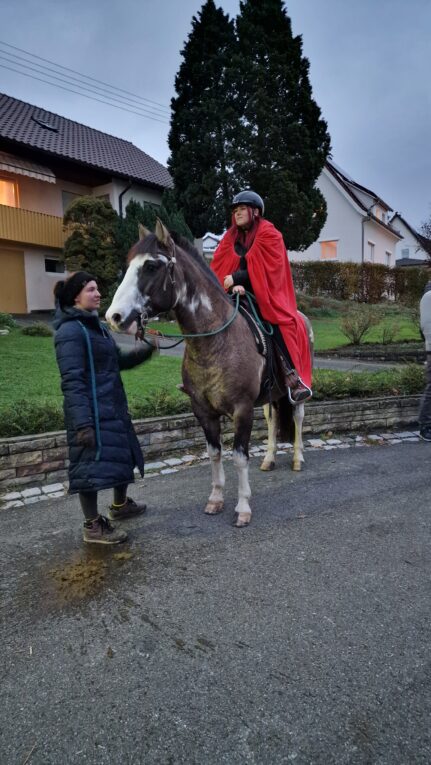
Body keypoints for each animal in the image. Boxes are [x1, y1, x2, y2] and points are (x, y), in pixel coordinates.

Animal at [106, 221, 312, 524]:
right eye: (129, 264)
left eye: (151, 266)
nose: (114, 317)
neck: (215, 341)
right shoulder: (203, 410)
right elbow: (214, 454)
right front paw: (216, 499)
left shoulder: (242, 409)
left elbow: (239, 457)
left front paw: (243, 507)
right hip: (271, 396)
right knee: (273, 420)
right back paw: (269, 459)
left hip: (297, 390)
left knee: (297, 417)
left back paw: (298, 459)